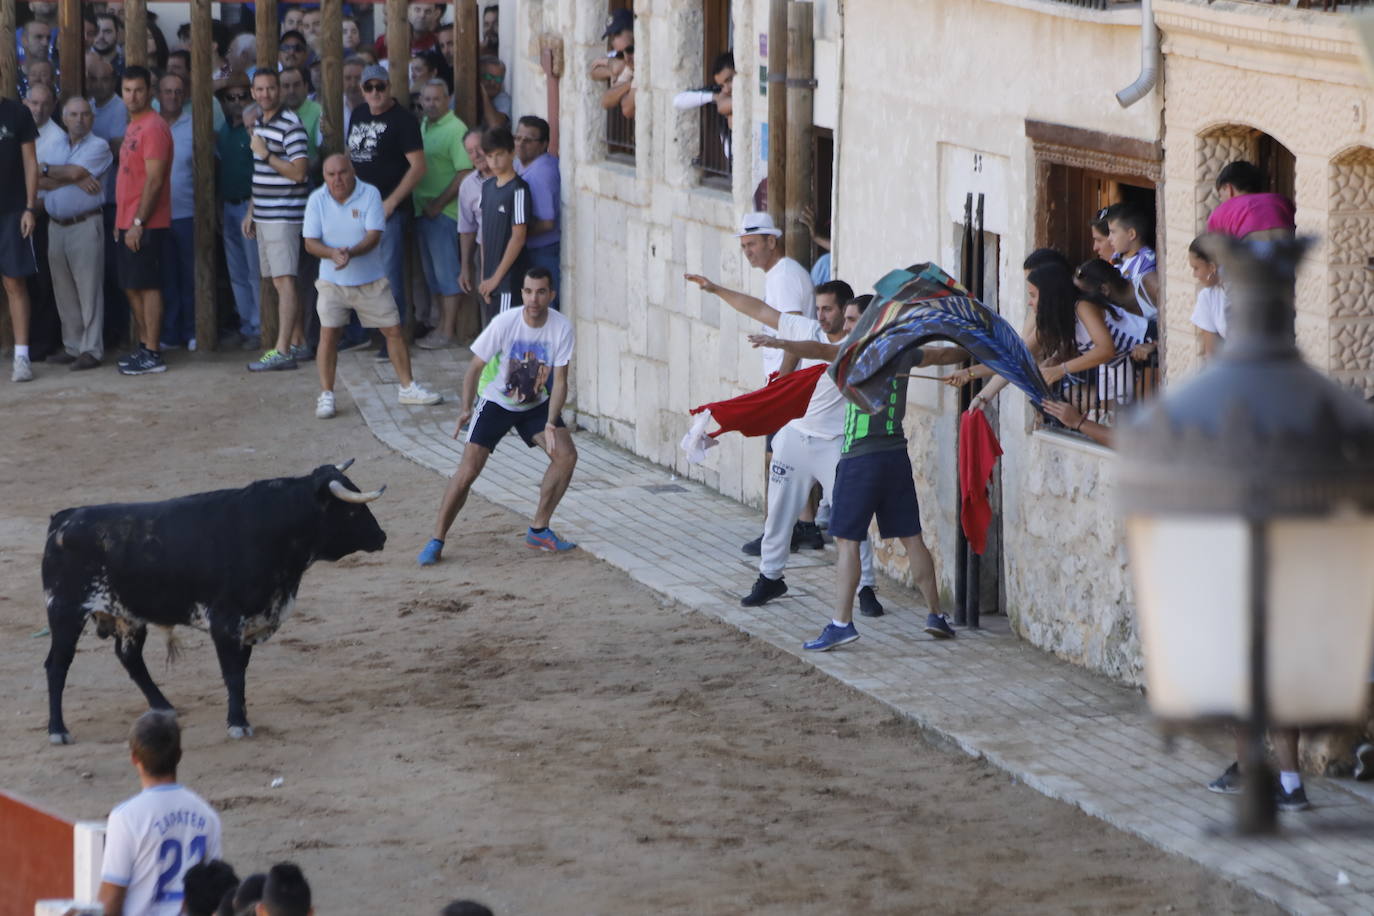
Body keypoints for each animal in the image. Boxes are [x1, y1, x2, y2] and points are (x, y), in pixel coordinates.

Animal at [42, 466, 387, 747]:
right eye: (352, 512)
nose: (381, 537)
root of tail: (63, 518)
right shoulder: (226, 622)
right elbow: (233, 673)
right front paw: (237, 724)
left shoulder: (250, 622)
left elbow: (241, 671)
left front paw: (241, 715)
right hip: (65, 612)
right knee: (57, 665)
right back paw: (58, 731)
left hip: (128, 617)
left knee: (129, 657)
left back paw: (163, 705)